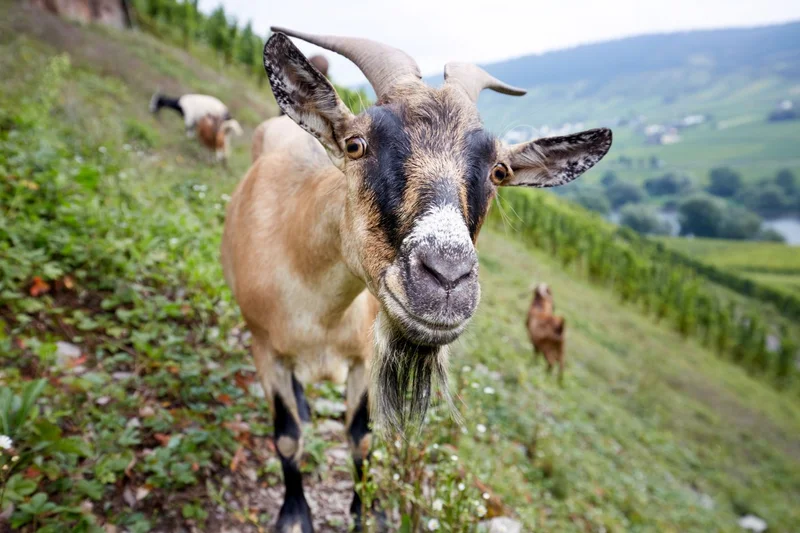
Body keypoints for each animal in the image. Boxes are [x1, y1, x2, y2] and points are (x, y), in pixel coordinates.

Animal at [221, 28, 612, 533]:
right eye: (356, 144)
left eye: (498, 171)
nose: (446, 277)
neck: (318, 310)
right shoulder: (264, 348)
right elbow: (288, 437)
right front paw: (293, 515)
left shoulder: (362, 359)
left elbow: (361, 438)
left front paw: (367, 511)